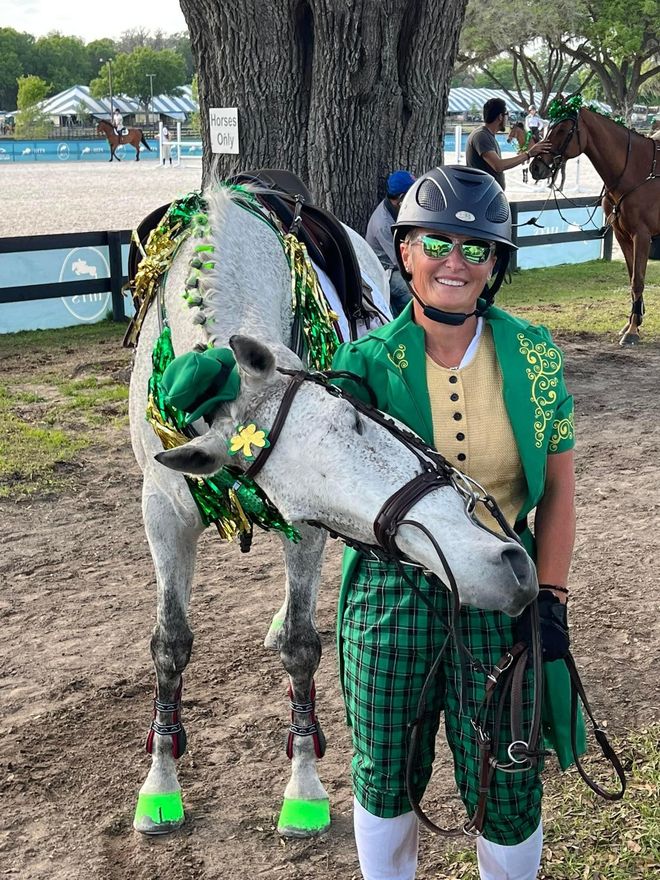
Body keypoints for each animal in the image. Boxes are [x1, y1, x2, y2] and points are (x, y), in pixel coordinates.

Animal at [127, 180, 536, 840]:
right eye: (302, 498)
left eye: (356, 417)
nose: (507, 566)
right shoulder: (164, 508)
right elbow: (170, 643)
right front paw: (161, 782)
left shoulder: (304, 536)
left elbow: (300, 646)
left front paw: (303, 790)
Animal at [532, 107, 660, 348]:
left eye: (563, 130)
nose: (535, 166)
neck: (636, 171)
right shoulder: (623, 236)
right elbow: (632, 280)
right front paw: (632, 323)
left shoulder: (642, 235)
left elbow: (637, 281)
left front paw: (633, 331)